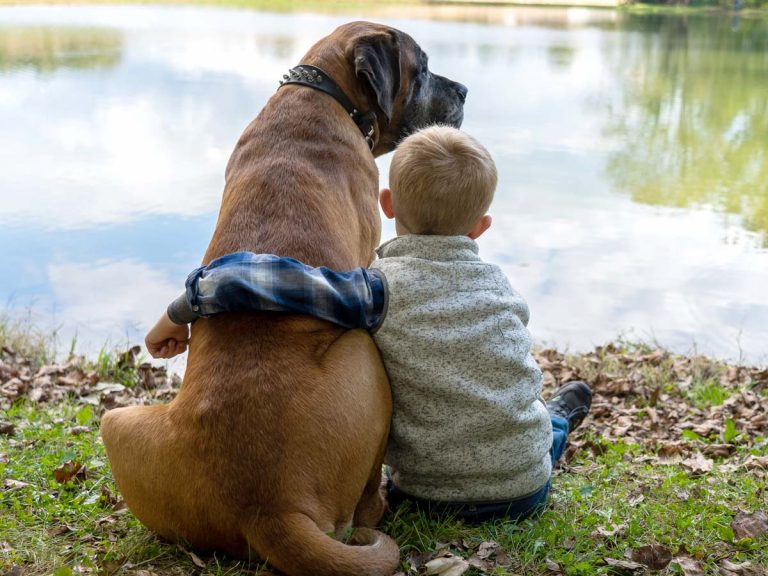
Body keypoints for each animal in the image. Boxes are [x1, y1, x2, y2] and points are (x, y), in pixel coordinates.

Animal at [100, 20, 464, 572]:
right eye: (421, 70)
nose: (463, 91)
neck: (323, 92)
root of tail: (268, 510)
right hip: (365, 354)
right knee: (364, 505)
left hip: (116, 421)